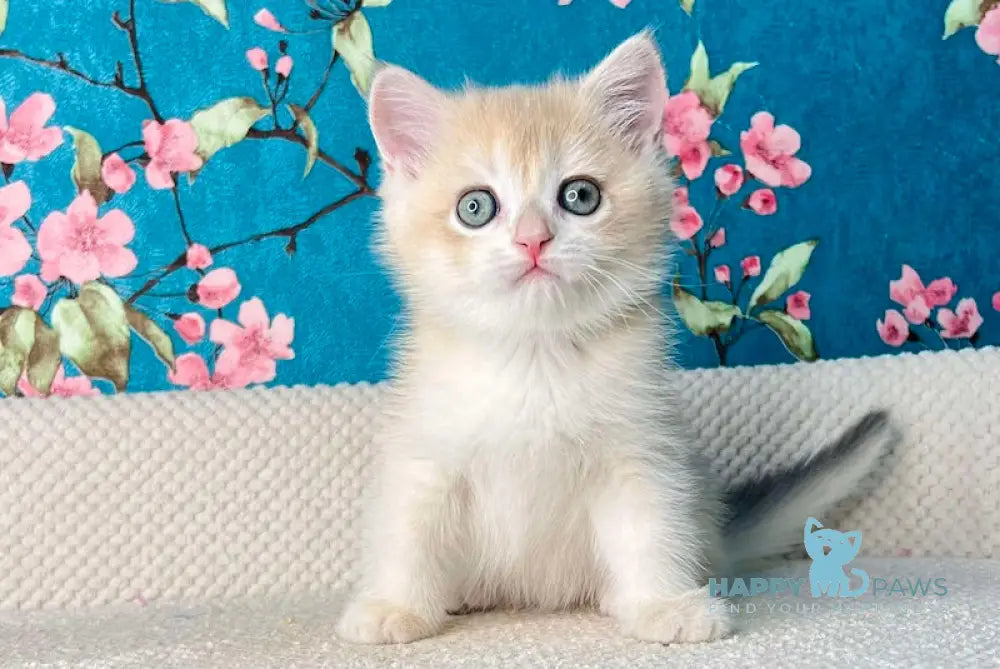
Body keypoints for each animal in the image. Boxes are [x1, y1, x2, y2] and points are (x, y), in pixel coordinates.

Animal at [334, 32, 892, 648]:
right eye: (475, 207)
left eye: (580, 196)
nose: (533, 240)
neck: (536, 355)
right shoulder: (426, 450)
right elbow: (410, 530)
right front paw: (395, 606)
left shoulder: (641, 448)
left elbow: (649, 527)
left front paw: (664, 605)